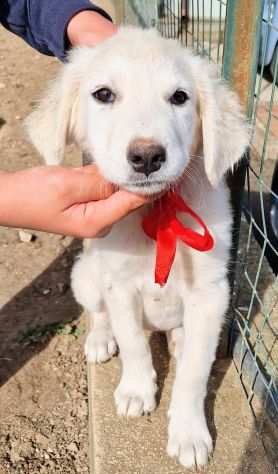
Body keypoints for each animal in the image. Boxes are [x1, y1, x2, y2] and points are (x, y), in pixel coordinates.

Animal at [25, 27, 248, 468]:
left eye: (179, 97)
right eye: (103, 94)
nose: (147, 156)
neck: (156, 211)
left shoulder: (211, 292)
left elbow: (195, 371)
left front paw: (189, 432)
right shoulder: (119, 286)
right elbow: (132, 343)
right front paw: (136, 390)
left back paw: (178, 339)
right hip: (85, 274)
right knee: (100, 315)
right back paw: (99, 340)